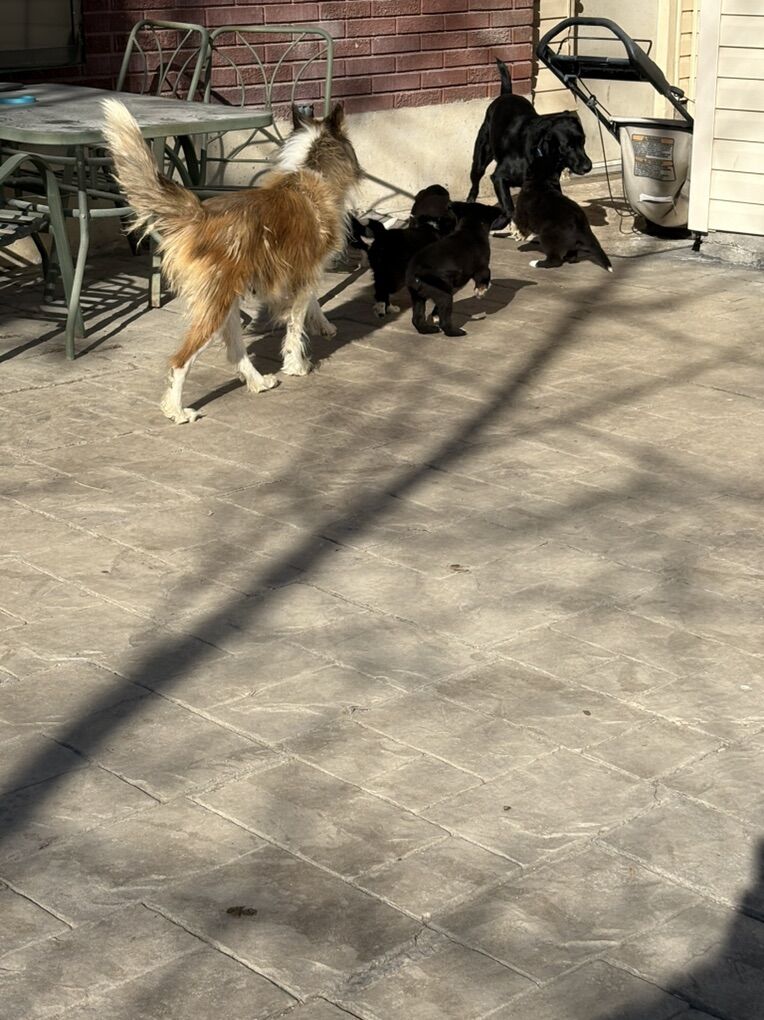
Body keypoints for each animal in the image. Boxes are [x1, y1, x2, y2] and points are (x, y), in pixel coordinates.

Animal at [102, 100, 362, 424]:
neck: (309, 170)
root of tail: (199, 215)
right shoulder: (305, 272)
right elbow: (295, 325)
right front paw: (297, 365)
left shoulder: (301, 273)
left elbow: (310, 305)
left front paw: (323, 325)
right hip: (215, 304)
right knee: (180, 361)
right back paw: (177, 411)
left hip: (228, 300)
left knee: (235, 350)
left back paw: (258, 382)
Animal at [349, 184, 455, 317]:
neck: (430, 226)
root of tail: (383, 235)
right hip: (394, 276)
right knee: (382, 290)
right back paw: (383, 309)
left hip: (380, 270)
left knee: (380, 288)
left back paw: (386, 308)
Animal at [406, 201, 497, 337]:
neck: (470, 228)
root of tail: (414, 274)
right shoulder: (481, 267)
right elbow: (486, 274)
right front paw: (481, 291)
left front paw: (435, 316)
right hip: (444, 294)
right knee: (445, 322)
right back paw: (457, 332)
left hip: (418, 296)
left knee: (417, 318)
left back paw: (429, 329)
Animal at [466, 58, 592, 231]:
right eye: (568, 147)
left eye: (583, 141)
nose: (588, 167)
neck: (540, 154)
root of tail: (506, 94)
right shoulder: (499, 177)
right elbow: (509, 208)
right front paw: (500, 222)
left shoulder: (551, 184)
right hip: (480, 159)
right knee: (475, 184)